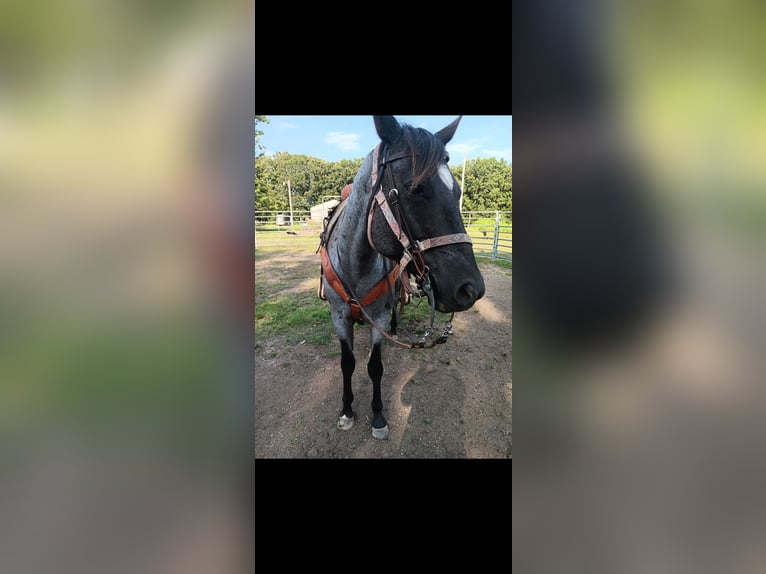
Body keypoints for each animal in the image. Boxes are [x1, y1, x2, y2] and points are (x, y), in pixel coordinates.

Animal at [317, 115, 486, 439]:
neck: (356, 262)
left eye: (457, 191)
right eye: (415, 189)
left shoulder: (380, 317)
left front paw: (378, 417)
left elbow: (375, 366)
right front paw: (347, 411)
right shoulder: (339, 316)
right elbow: (348, 363)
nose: (471, 289)